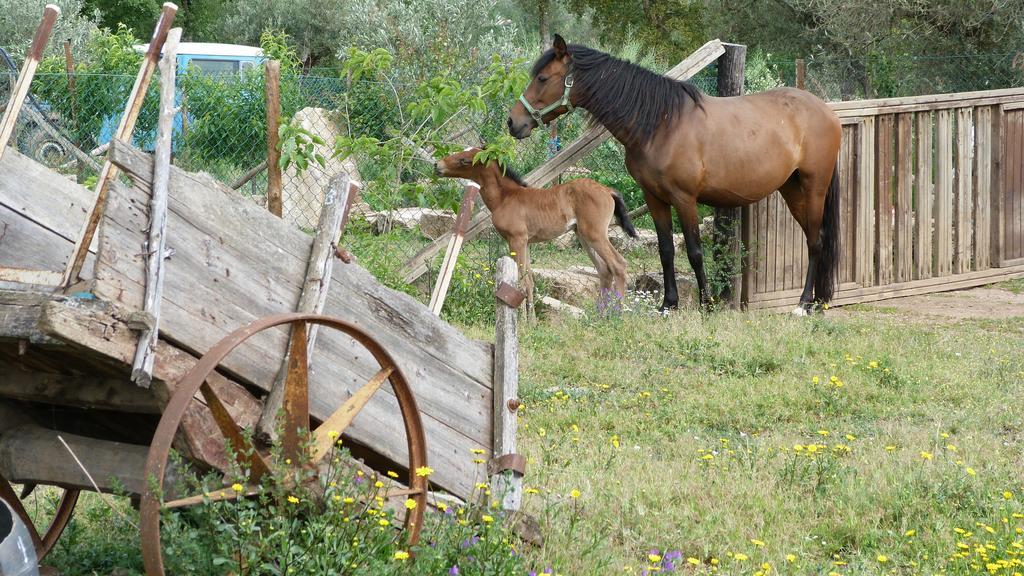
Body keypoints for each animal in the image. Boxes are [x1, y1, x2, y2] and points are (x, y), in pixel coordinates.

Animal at [434, 146, 638, 309]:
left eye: (465, 160)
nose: (437, 165)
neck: (505, 197)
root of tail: (608, 190)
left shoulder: (516, 239)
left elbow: (521, 282)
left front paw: (523, 324)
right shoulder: (525, 242)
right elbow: (529, 282)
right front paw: (531, 322)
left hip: (595, 234)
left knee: (618, 265)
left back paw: (616, 315)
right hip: (583, 235)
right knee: (604, 270)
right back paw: (599, 316)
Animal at [507, 34, 843, 313]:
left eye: (542, 77)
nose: (513, 122)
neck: (662, 124)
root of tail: (826, 111)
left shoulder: (685, 199)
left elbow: (694, 252)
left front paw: (707, 304)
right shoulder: (654, 198)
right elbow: (667, 250)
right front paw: (669, 305)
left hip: (814, 186)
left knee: (816, 241)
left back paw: (804, 304)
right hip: (792, 189)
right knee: (814, 238)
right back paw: (818, 300)